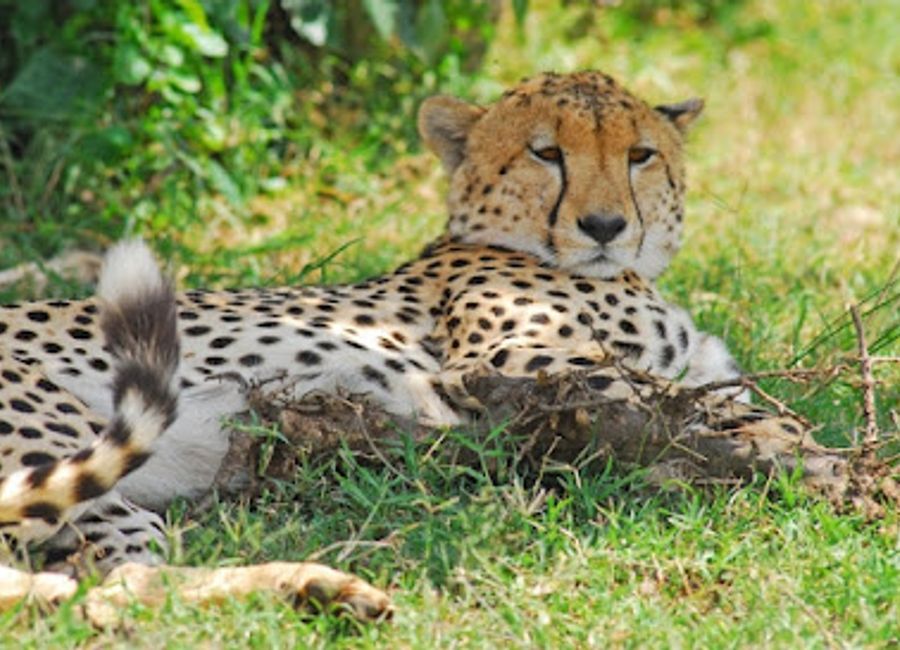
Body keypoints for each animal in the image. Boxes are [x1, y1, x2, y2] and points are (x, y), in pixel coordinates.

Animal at [0, 70, 803, 621]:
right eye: (546, 153)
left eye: (640, 155)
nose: (604, 226)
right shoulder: (508, 368)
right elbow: (714, 409)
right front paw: (791, 457)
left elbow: (747, 401)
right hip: (61, 437)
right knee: (120, 586)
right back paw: (321, 585)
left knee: (88, 587)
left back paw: (316, 589)